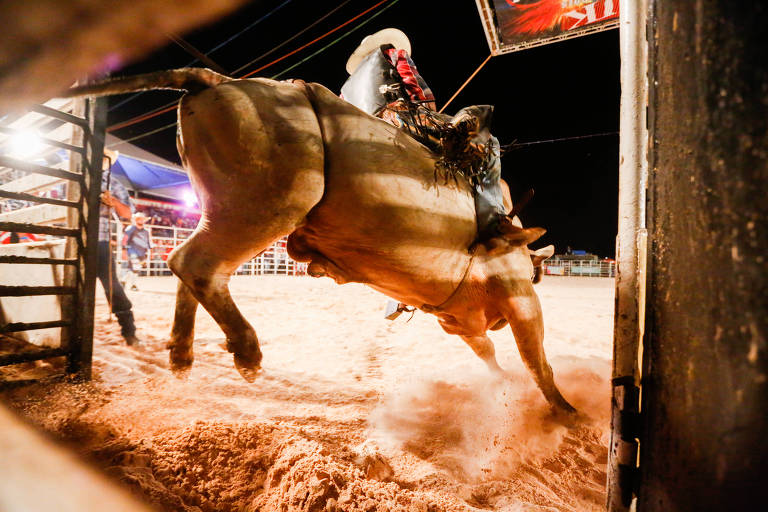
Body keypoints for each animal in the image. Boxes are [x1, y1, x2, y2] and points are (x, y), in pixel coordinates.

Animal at [64, 68, 576, 412]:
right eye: (537, 274)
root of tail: (211, 78)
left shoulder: (458, 321)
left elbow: (490, 353)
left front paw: (503, 381)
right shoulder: (518, 296)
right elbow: (536, 358)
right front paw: (566, 412)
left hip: (228, 211)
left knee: (195, 267)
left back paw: (181, 355)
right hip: (270, 204)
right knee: (194, 263)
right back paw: (246, 352)